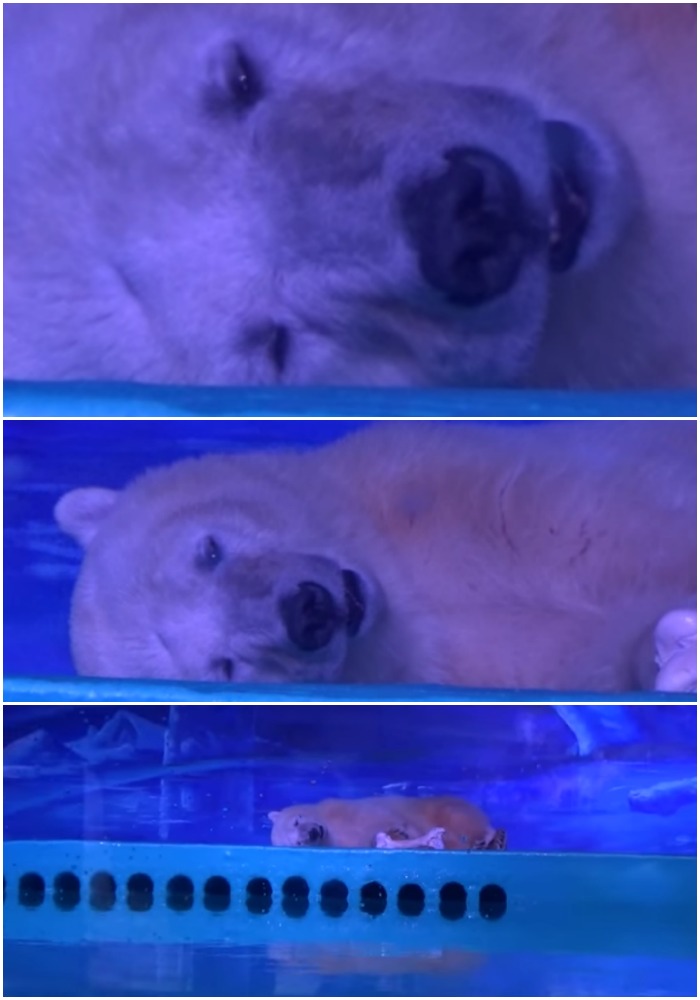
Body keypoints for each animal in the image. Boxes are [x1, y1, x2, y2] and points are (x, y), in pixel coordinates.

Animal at [53, 421, 696, 692]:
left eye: (209, 550)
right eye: (224, 666)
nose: (308, 611)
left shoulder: (446, 483)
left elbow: (601, 520)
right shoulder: (470, 662)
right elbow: (592, 656)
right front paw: (675, 654)